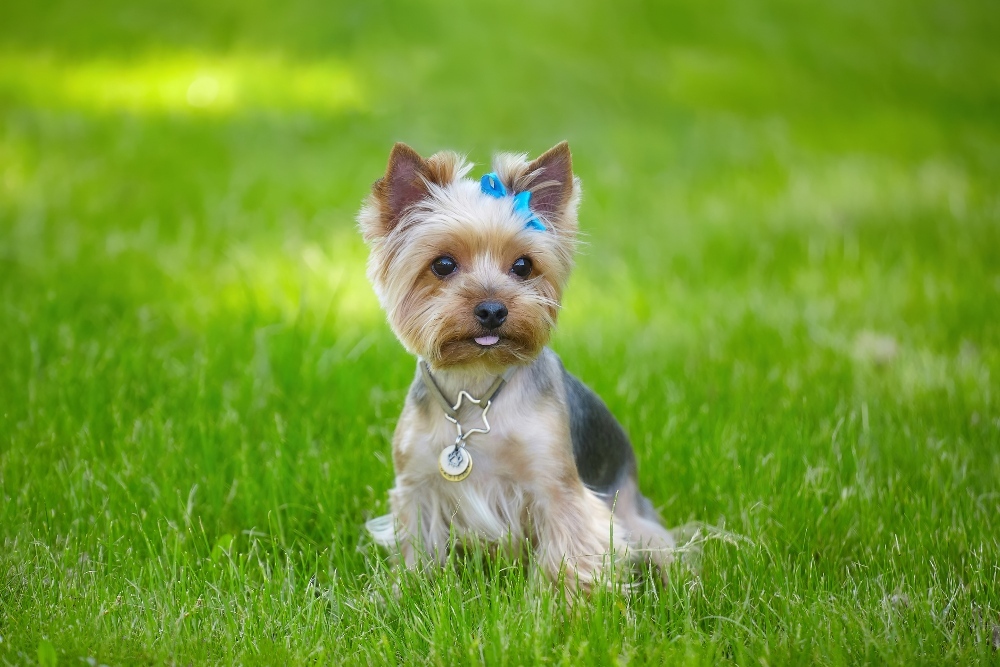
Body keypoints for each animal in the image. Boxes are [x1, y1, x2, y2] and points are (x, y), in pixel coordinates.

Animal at [360, 141, 672, 588]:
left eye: (523, 265)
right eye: (443, 264)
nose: (492, 310)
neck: (475, 386)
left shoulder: (556, 485)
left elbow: (568, 554)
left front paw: (558, 606)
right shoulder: (417, 485)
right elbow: (416, 551)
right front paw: (405, 592)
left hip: (637, 522)